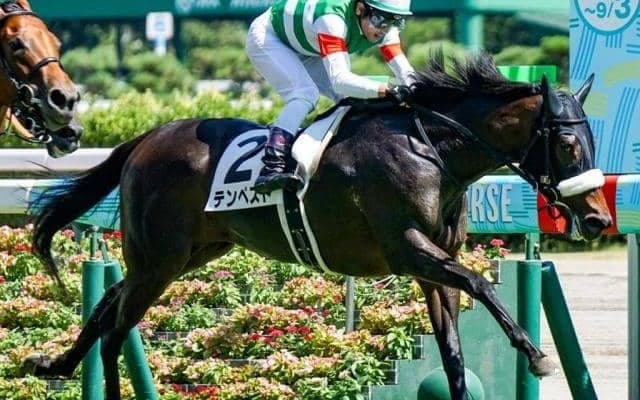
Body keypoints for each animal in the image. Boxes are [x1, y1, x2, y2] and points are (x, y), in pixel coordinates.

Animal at [23, 53, 611, 400]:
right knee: (116, 327)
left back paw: (53, 362)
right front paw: (536, 356)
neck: (432, 151)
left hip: (188, 253)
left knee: (108, 303)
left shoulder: (430, 265)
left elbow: (453, 352)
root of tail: (148, 137)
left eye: (592, 138)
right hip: (160, 258)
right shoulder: (406, 248)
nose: (598, 217)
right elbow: (482, 283)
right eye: (566, 142)